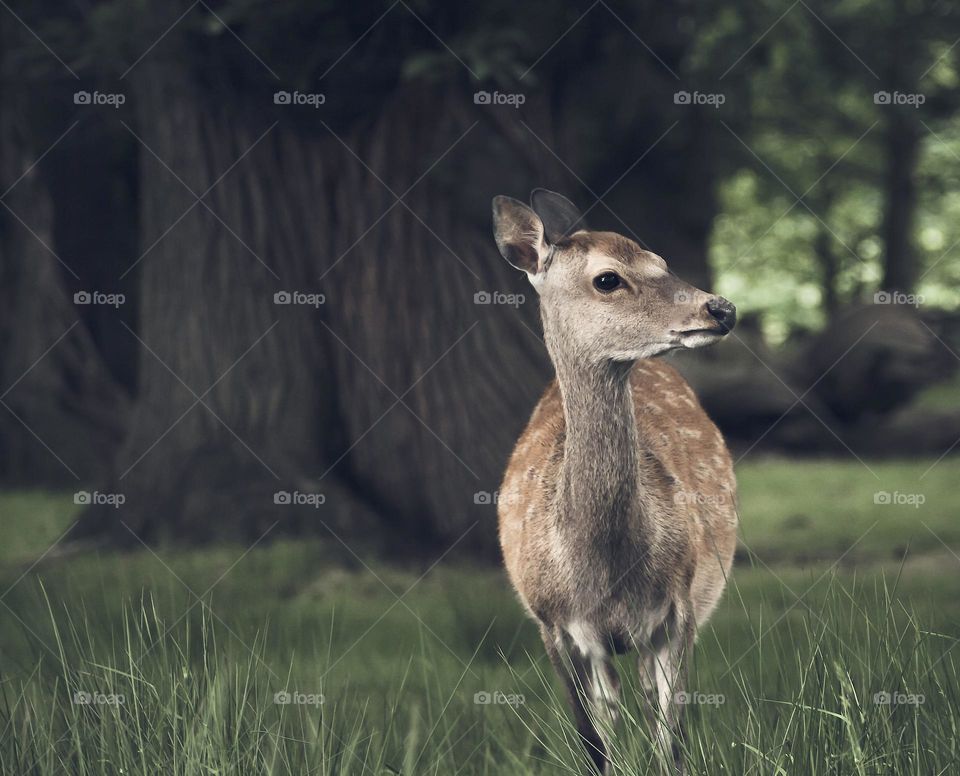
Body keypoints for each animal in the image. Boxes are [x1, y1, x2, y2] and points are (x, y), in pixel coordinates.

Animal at [492, 191, 740, 772]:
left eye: (661, 260)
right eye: (607, 278)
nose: (721, 308)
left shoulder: (680, 606)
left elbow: (671, 739)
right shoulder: (551, 622)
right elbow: (591, 741)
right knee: (612, 709)